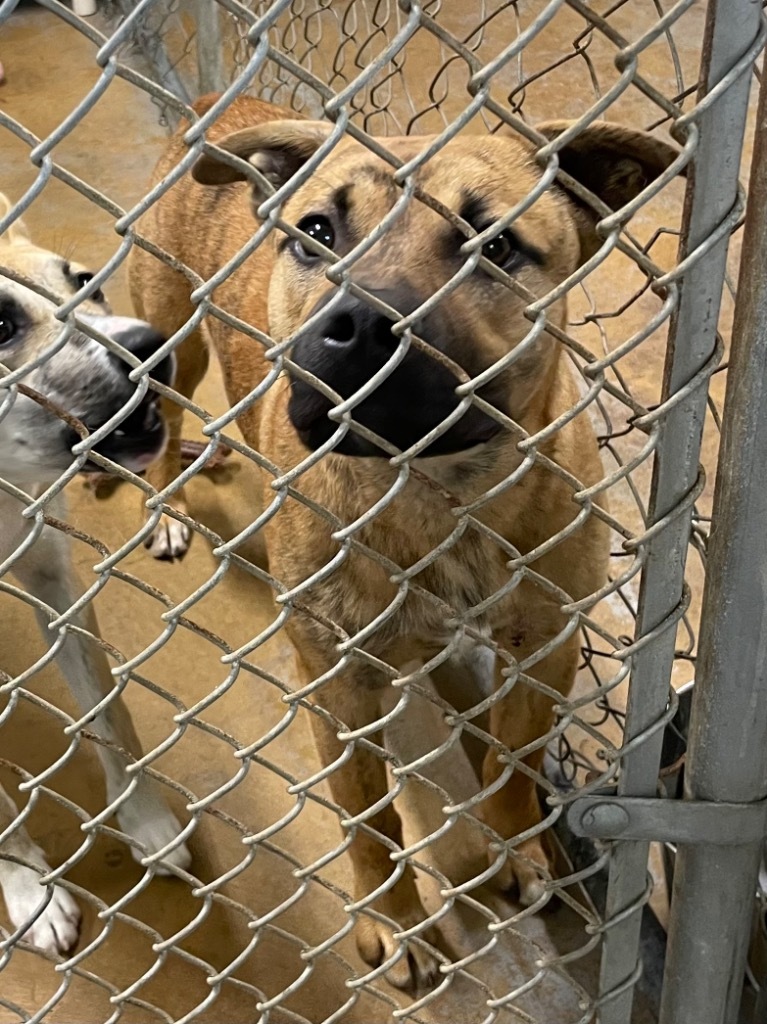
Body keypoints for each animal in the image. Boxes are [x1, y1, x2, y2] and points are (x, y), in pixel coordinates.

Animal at [0, 195, 191, 954]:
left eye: (85, 282)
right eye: (0, 324)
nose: (152, 346)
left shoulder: (53, 577)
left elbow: (109, 710)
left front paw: (147, 821)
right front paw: (29, 890)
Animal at [128, 96, 679, 991]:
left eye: (496, 245)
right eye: (317, 231)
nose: (354, 325)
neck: (435, 490)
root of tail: (225, 104)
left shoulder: (543, 647)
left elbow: (513, 765)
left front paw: (518, 853)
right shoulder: (339, 687)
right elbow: (370, 819)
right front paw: (395, 923)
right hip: (174, 336)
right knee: (163, 421)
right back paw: (168, 503)